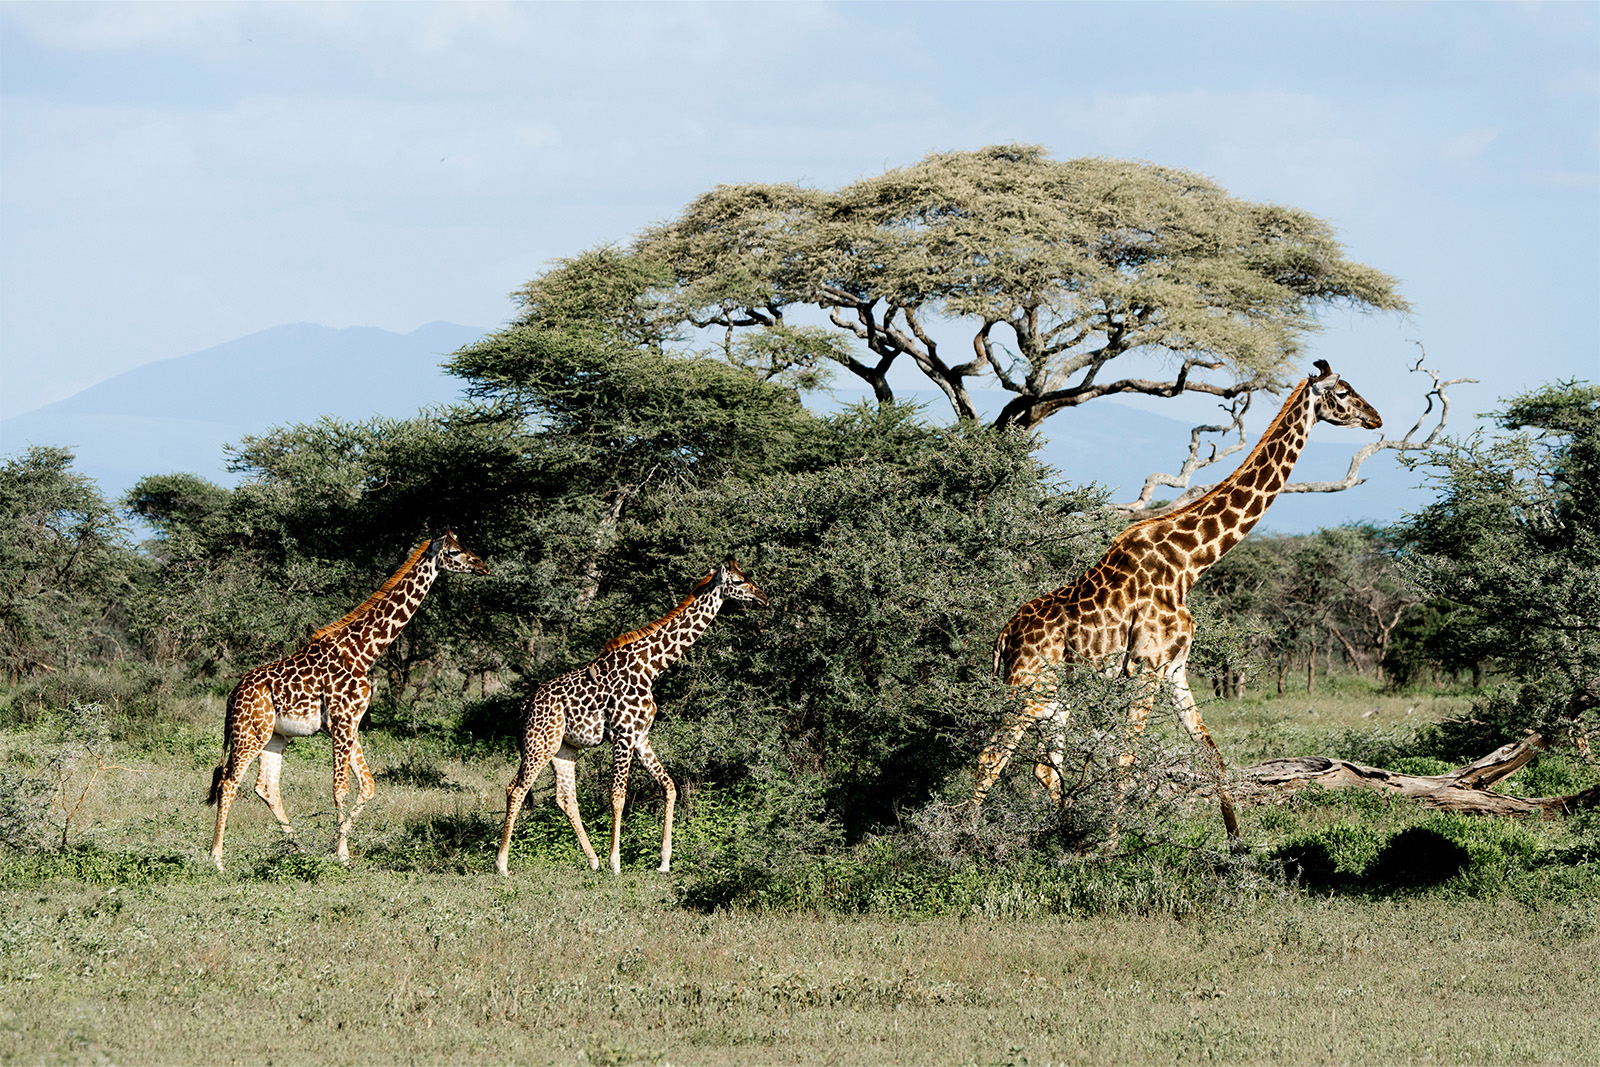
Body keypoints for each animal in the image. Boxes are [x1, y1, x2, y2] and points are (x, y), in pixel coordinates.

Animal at [206, 531, 489, 870]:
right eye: (455, 552)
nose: (483, 565)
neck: (364, 651)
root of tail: (232, 694)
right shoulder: (342, 722)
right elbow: (340, 788)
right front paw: (341, 853)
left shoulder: (350, 723)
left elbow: (368, 785)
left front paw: (337, 847)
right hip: (248, 733)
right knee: (228, 783)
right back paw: (216, 858)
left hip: (274, 737)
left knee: (266, 787)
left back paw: (300, 849)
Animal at [496, 559, 769, 877]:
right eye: (738, 581)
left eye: (747, 576)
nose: (763, 597)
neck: (651, 667)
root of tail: (526, 704)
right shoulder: (624, 735)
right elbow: (618, 795)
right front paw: (616, 862)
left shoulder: (640, 737)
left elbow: (669, 786)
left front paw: (664, 861)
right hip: (540, 743)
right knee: (515, 789)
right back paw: (502, 864)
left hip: (564, 748)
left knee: (565, 798)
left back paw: (592, 860)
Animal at [969, 360, 1382, 844]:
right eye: (1344, 391)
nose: (1376, 418)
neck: (1190, 562)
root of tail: (1003, 636)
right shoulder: (1146, 668)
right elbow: (1126, 760)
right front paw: (1108, 847)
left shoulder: (1175, 670)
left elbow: (1212, 754)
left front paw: (1236, 844)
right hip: (1027, 690)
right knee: (989, 759)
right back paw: (961, 842)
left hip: (1054, 698)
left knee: (1043, 768)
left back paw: (1061, 833)